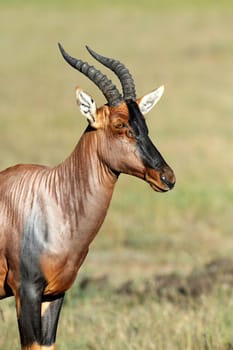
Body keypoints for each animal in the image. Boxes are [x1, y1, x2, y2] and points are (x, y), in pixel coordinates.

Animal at [0, 45, 175, 348]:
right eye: (119, 124)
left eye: (144, 123)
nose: (167, 177)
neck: (53, 198)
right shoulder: (26, 291)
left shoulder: (54, 294)